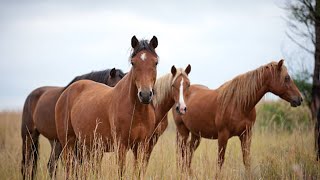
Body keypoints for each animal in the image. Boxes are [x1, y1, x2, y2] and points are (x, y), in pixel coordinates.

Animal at [55, 35, 159, 178]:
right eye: (133, 63)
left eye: (156, 62)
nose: (144, 95)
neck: (137, 111)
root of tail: (65, 92)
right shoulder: (121, 146)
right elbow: (121, 172)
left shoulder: (141, 145)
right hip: (68, 143)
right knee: (69, 168)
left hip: (86, 146)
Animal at [174, 59, 304, 174]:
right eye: (286, 78)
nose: (299, 99)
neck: (240, 104)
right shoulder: (223, 135)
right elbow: (220, 161)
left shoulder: (246, 135)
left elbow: (246, 161)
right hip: (183, 132)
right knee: (182, 153)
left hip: (196, 134)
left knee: (188, 152)